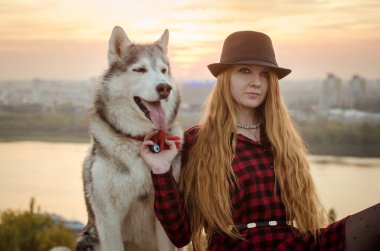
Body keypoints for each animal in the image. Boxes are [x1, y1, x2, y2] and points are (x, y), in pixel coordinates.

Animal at [75, 26, 183, 251]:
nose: (164, 88)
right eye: (140, 70)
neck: (138, 140)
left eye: (163, 70)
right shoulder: (108, 220)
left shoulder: (165, 223)